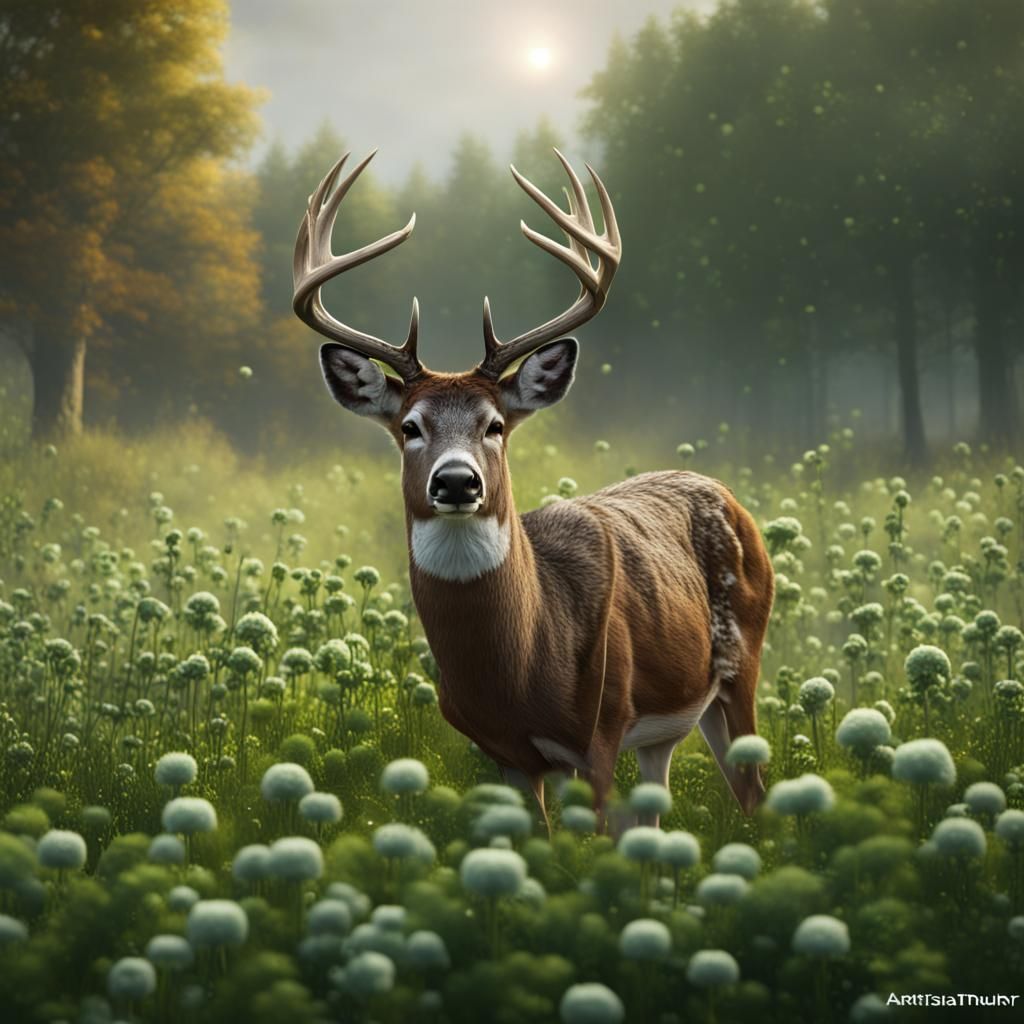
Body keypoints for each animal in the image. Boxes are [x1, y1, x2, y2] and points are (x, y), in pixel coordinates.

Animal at [292, 149, 775, 830]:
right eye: (410, 427)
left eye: (495, 424)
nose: (457, 480)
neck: (522, 661)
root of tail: (726, 494)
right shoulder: (505, 754)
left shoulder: (600, 729)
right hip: (667, 725)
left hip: (742, 662)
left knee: (752, 792)